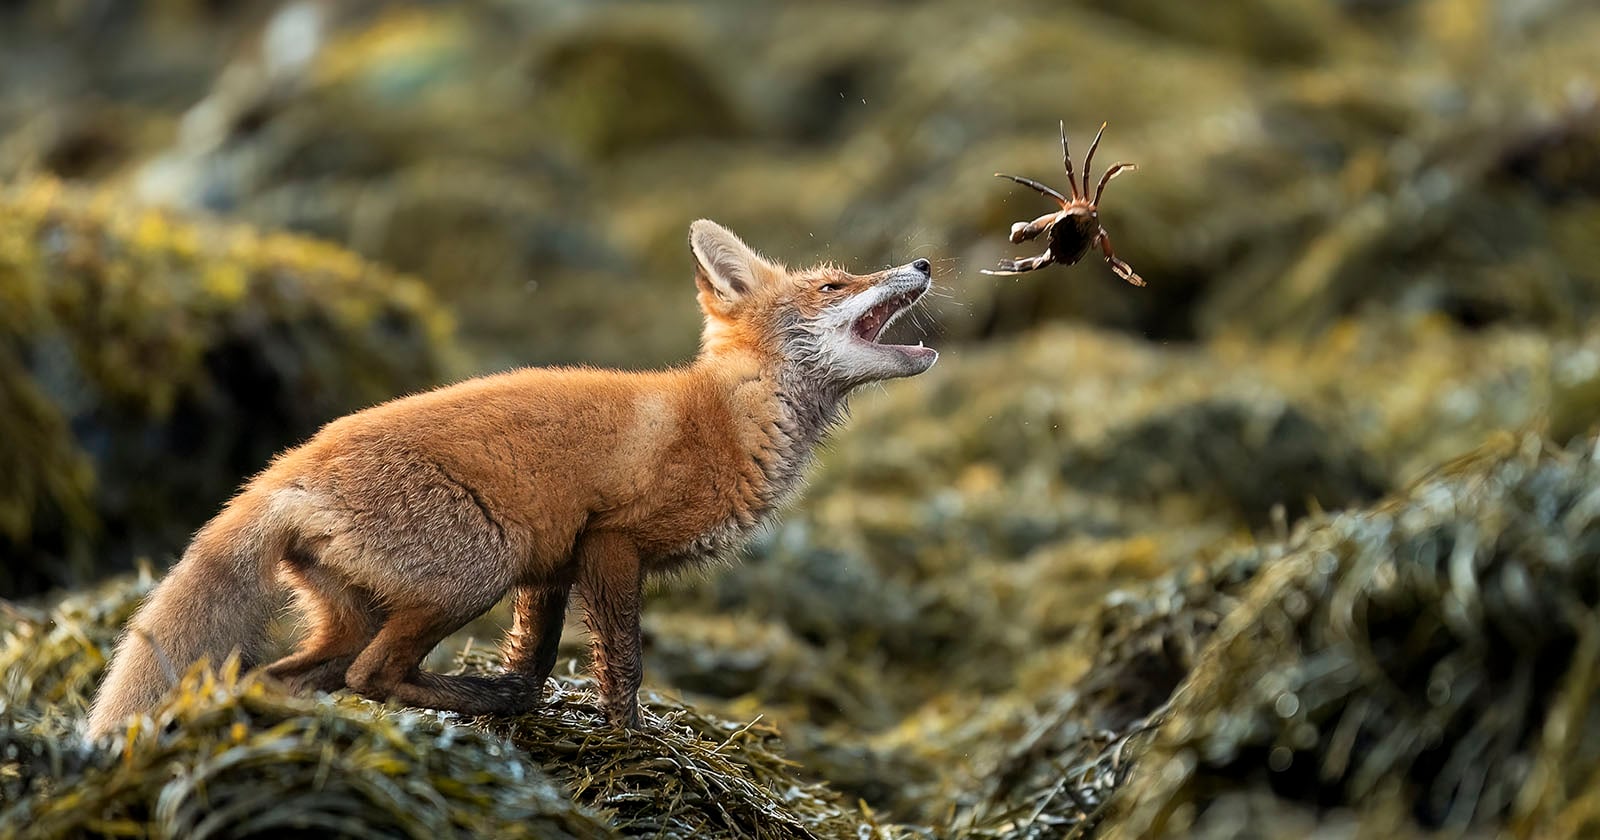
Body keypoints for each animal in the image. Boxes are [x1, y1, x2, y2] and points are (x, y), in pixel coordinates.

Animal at [85, 220, 937, 737]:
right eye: (833, 285)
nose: (924, 262)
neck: (724, 419)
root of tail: (287, 469)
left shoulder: (552, 564)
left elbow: (536, 654)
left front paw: (540, 706)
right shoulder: (610, 542)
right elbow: (621, 665)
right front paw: (630, 741)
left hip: (370, 606)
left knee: (278, 677)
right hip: (475, 570)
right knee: (370, 674)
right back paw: (474, 700)